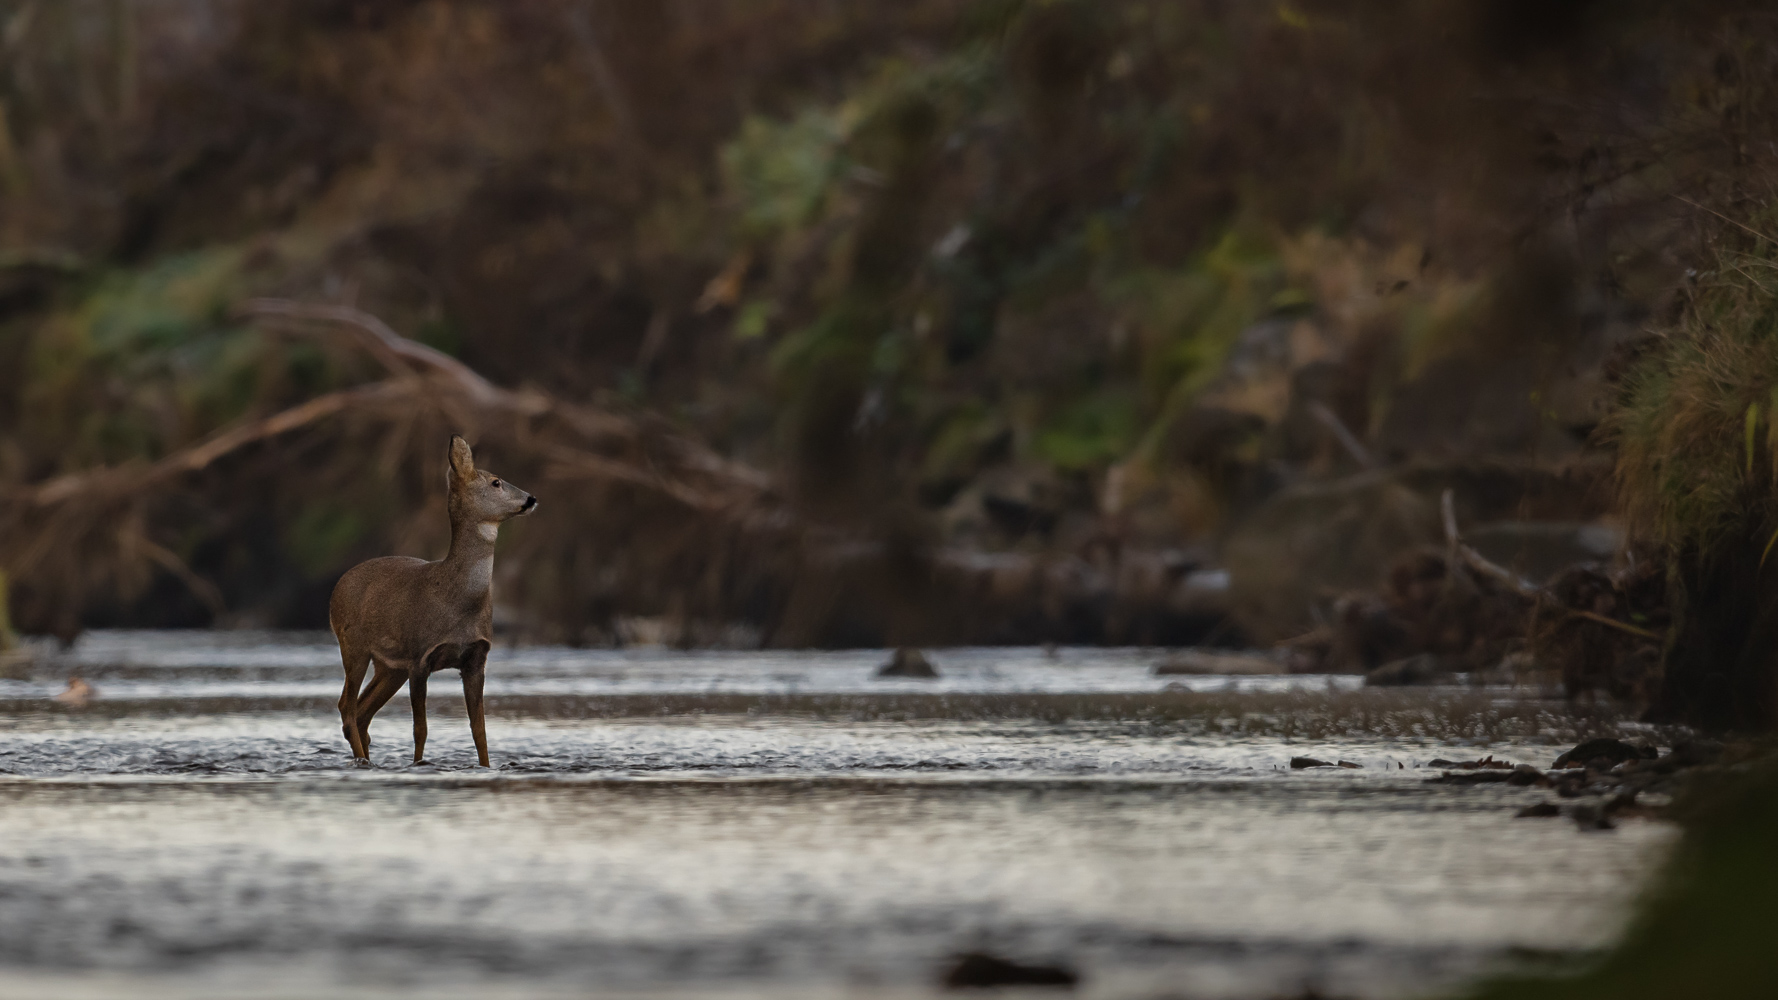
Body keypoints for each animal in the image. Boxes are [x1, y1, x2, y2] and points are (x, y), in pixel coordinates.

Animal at [328, 434, 533, 761]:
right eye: (496, 482)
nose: (531, 499)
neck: (457, 597)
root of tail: (337, 587)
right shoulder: (419, 657)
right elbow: (420, 730)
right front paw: (418, 765)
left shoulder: (475, 660)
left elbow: (480, 733)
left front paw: (486, 767)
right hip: (354, 644)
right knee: (347, 707)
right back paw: (362, 760)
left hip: (390, 666)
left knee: (362, 712)